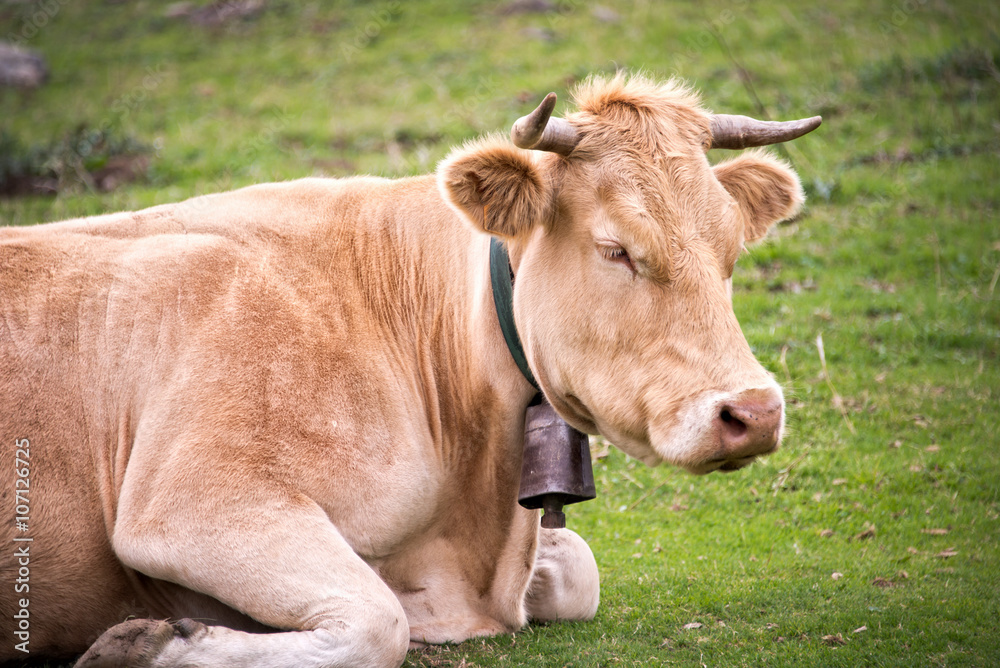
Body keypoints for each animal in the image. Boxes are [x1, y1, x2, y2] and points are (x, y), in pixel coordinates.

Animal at [1, 74, 820, 668]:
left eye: (731, 251)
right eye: (616, 248)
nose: (753, 412)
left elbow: (576, 570)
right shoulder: (190, 500)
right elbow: (376, 624)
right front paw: (143, 642)